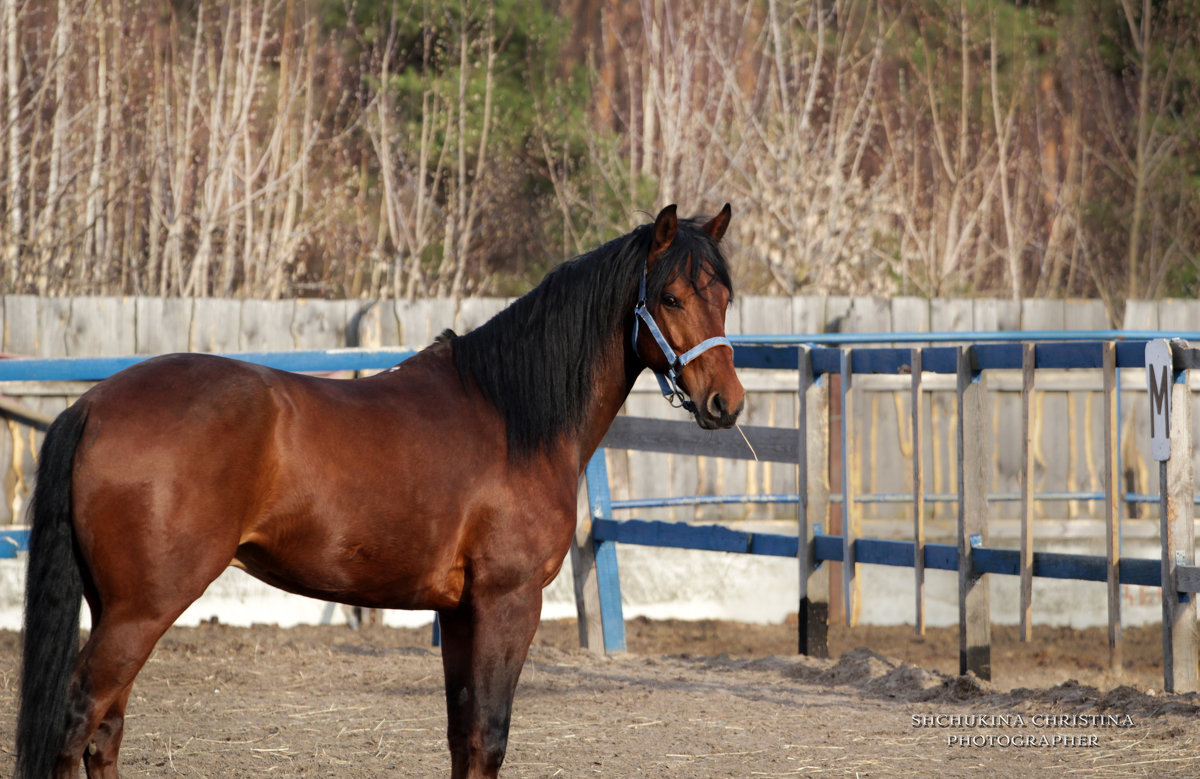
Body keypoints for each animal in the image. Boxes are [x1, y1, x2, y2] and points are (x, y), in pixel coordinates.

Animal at [16, 204, 739, 772]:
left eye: (725, 298)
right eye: (671, 298)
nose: (725, 404)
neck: (511, 416)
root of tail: (95, 405)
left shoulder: (460, 611)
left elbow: (462, 735)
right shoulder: (508, 602)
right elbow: (490, 736)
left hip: (118, 609)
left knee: (105, 732)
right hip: (140, 610)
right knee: (76, 725)